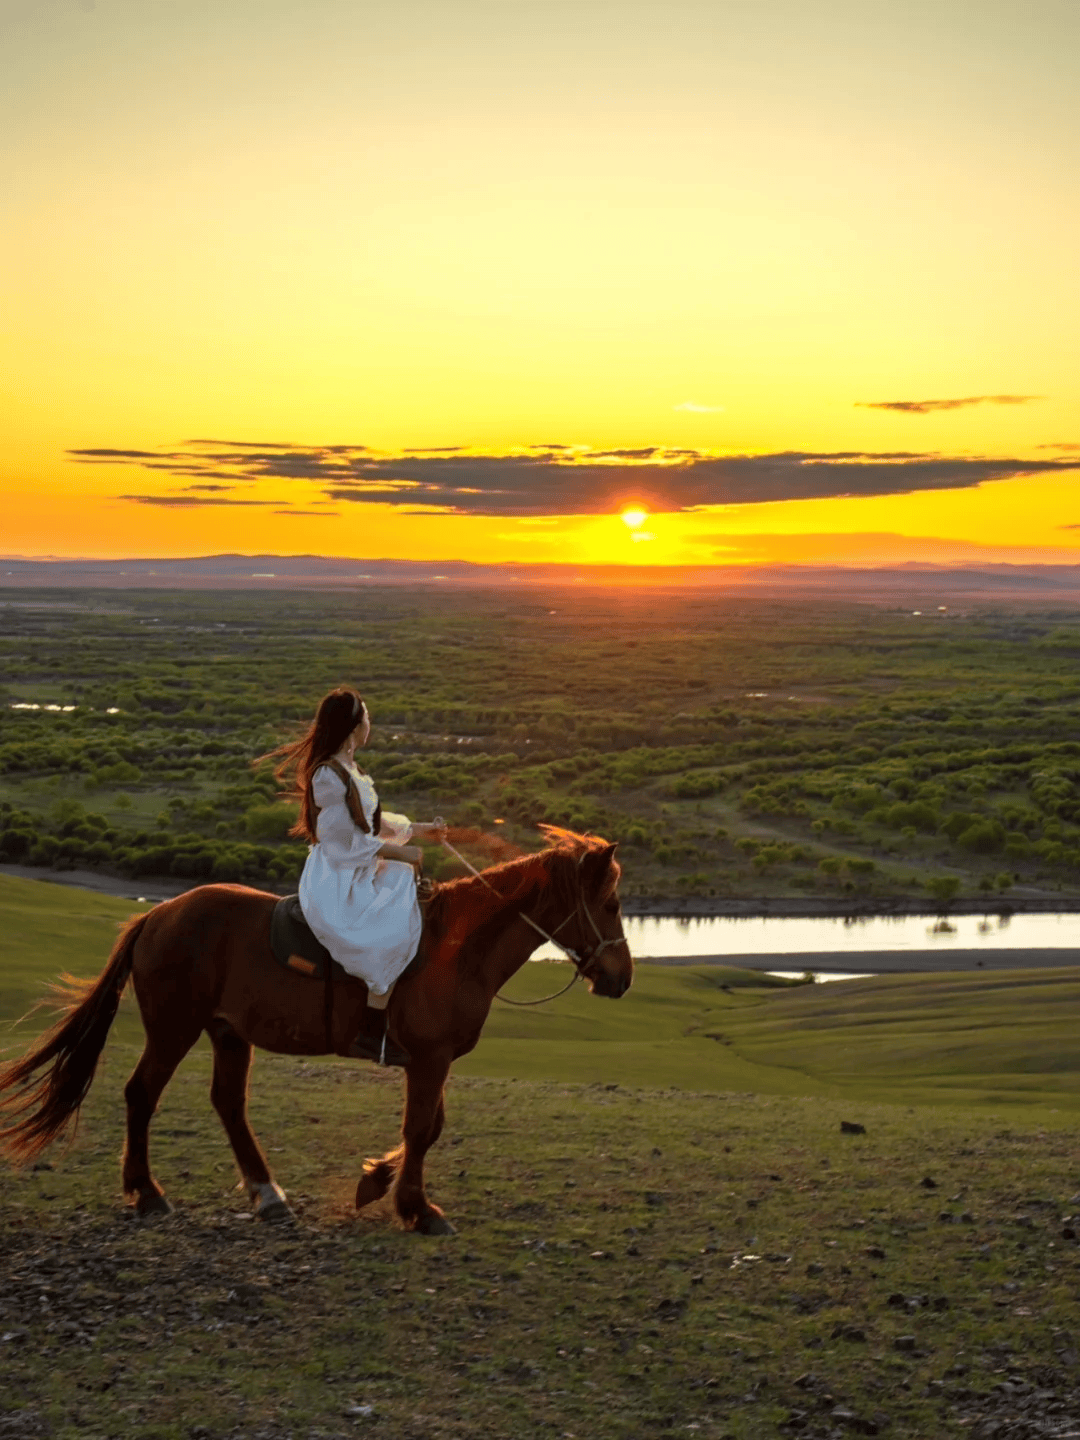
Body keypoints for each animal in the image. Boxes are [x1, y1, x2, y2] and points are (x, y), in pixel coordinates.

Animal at [0, 829, 633, 1232]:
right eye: (610, 903)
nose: (622, 978)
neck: (458, 948)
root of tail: (157, 913)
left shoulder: (433, 1060)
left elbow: (429, 1129)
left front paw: (378, 1180)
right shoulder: (430, 1059)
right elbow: (422, 1128)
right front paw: (416, 1208)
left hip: (227, 1032)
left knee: (228, 1103)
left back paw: (267, 1194)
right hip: (175, 1029)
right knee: (141, 1094)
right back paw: (149, 1193)